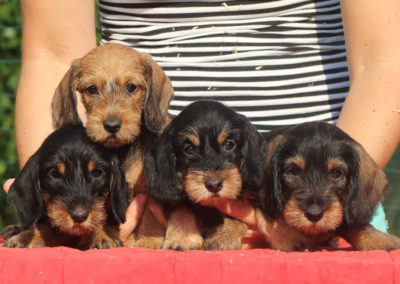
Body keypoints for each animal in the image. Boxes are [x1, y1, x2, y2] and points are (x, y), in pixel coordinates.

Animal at [50, 42, 173, 248]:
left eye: (131, 87)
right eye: (92, 89)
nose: (112, 125)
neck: (120, 150)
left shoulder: (149, 193)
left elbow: (150, 218)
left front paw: (149, 242)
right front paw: (101, 237)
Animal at [143, 100, 266, 251]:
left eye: (229, 144)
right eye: (189, 149)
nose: (214, 185)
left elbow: (237, 216)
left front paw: (223, 237)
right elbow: (181, 207)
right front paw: (181, 238)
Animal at [256, 121, 400, 251]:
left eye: (336, 172)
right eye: (294, 170)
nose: (314, 215)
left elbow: (351, 224)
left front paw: (381, 240)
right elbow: (269, 217)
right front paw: (290, 238)